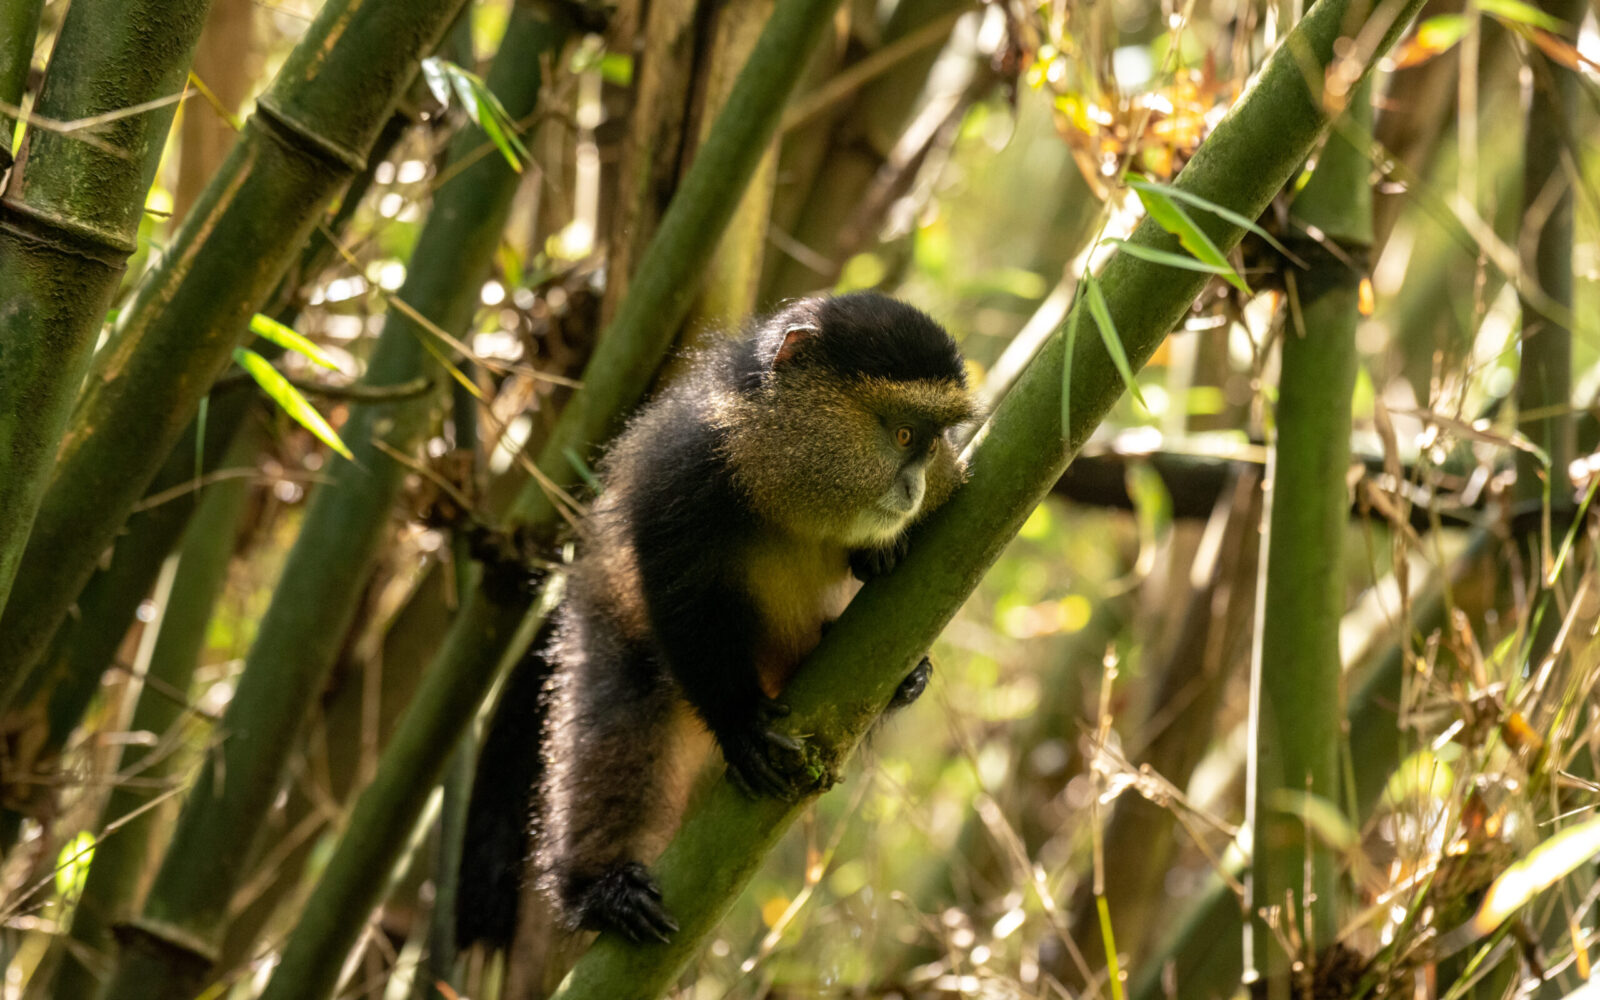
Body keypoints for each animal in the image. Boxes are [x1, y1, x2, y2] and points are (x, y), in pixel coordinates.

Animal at [457, 291, 977, 950]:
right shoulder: (684, 474)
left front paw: (884, 580)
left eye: (933, 444)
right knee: (619, 718)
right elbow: (682, 600)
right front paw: (740, 725)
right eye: (904, 432)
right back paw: (601, 890)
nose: (912, 487)